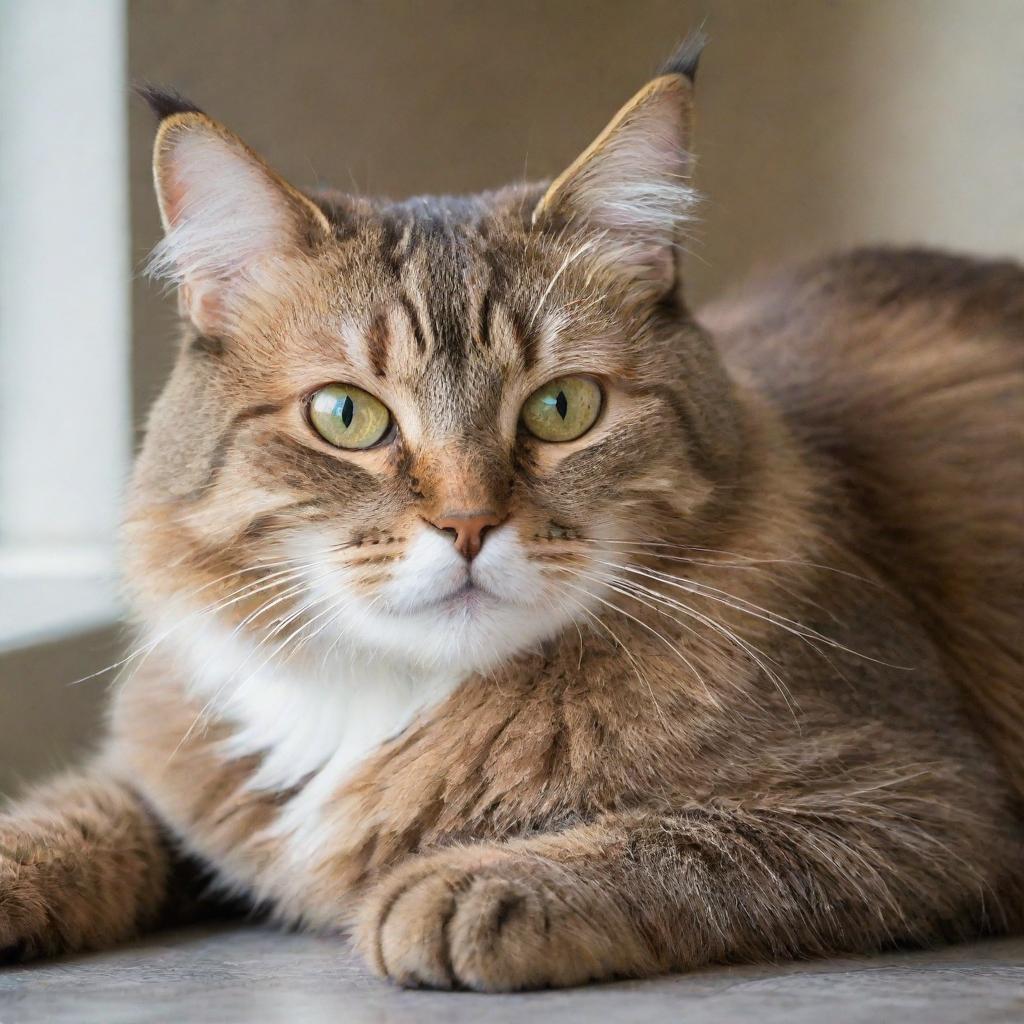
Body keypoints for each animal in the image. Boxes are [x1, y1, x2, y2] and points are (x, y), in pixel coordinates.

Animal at [2, 39, 1024, 991]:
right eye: (346, 416)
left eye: (562, 408)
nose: (467, 525)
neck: (389, 695)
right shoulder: (172, 770)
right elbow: (80, 809)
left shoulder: (913, 802)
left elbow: (675, 842)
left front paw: (466, 883)